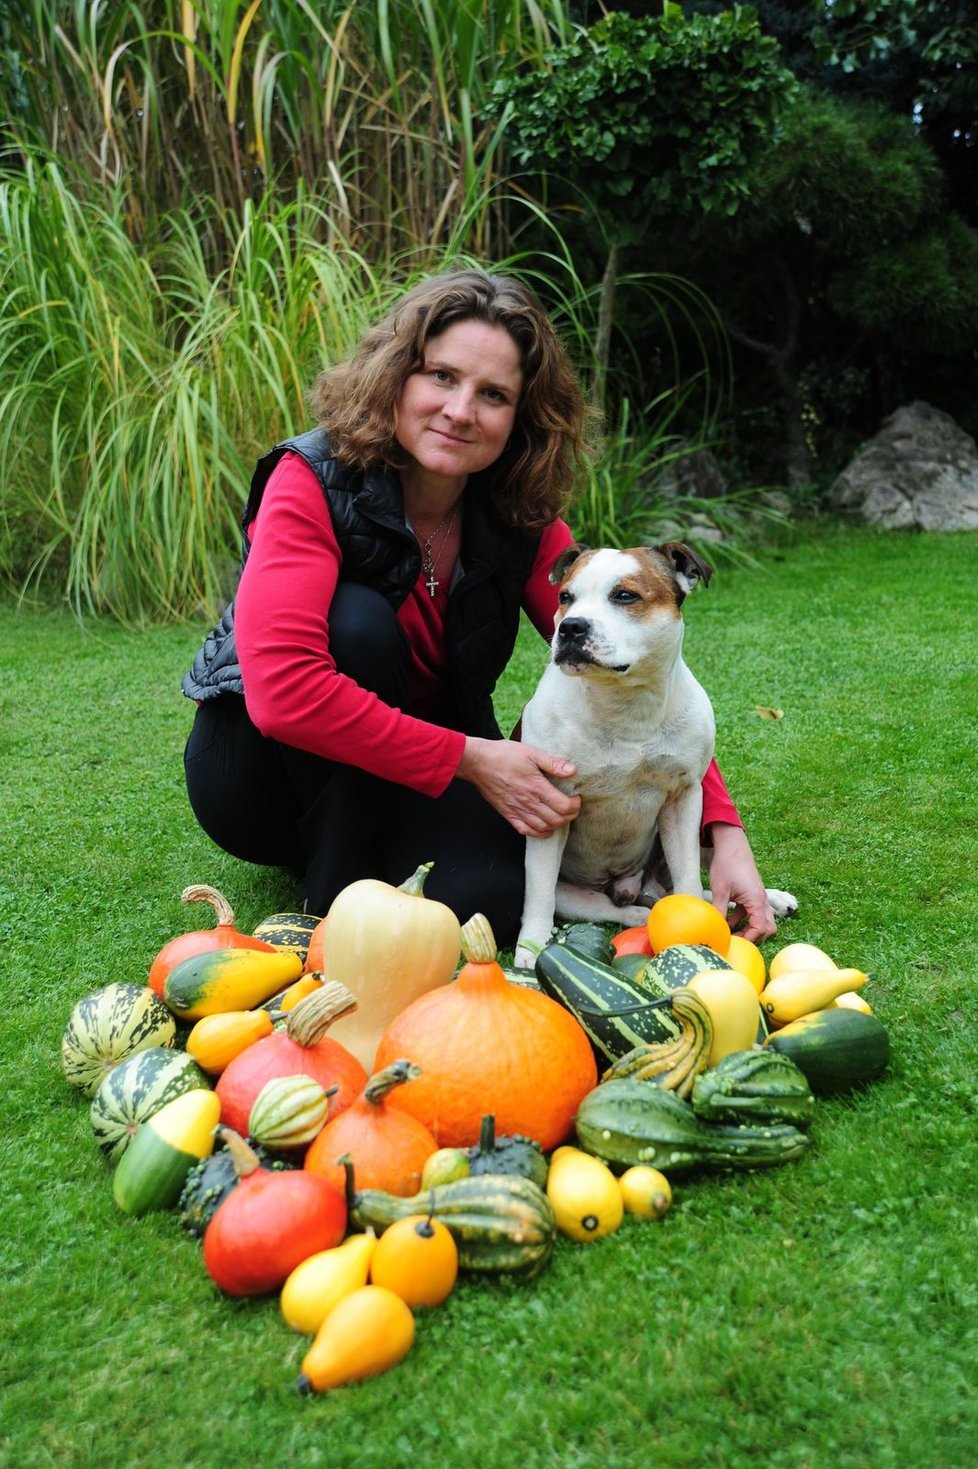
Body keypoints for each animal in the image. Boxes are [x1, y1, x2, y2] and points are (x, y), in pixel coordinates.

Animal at [511, 546, 792, 969]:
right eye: (565, 597)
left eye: (625, 596)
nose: (572, 627)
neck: (626, 703)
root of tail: (631, 885)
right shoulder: (547, 805)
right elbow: (538, 890)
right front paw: (531, 951)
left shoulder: (684, 798)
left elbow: (689, 876)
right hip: (580, 897)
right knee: (626, 911)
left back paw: (765, 899)